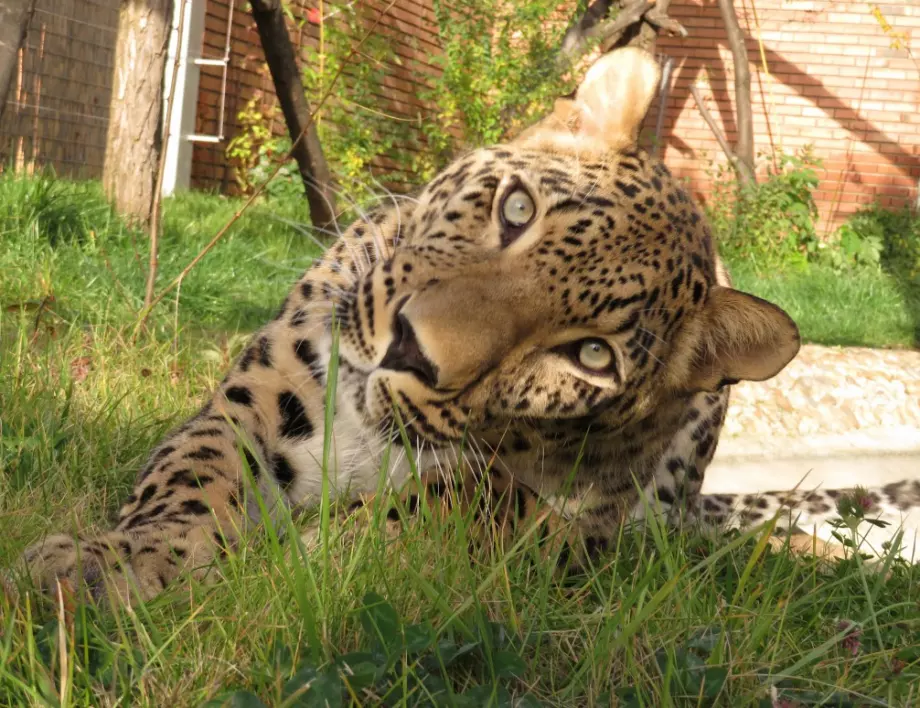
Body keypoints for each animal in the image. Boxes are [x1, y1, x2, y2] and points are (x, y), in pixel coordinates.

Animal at [10, 48, 916, 604]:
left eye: (590, 356)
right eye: (516, 209)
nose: (413, 352)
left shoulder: (517, 506)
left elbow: (424, 517)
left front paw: (292, 568)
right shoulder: (266, 389)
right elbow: (194, 477)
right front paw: (110, 565)